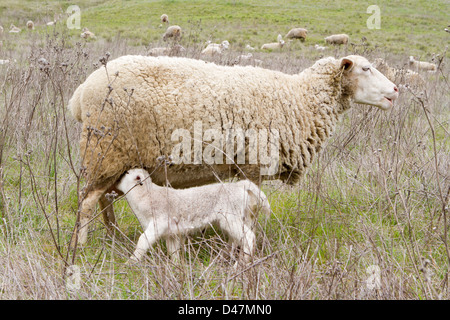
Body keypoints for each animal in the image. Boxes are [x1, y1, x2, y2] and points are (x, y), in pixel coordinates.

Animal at [68, 53, 400, 244]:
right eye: (366, 68)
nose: (396, 90)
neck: (298, 98)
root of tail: (80, 94)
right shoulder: (252, 165)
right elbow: (250, 207)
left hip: (111, 158)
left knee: (104, 200)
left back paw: (113, 236)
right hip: (105, 150)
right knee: (87, 202)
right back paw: (82, 247)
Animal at [117, 168, 270, 262]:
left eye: (126, 173)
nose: (116, 179)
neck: (145, 195)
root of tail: (241, 186)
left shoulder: (158, 222)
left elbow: (143, 241)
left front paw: (131, 263)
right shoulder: (171, 232)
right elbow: (173, 251)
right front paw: (176, 268)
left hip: (231, 217)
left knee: (249, 237)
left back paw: (240, 264)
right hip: (243, 217)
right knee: (237, 240)